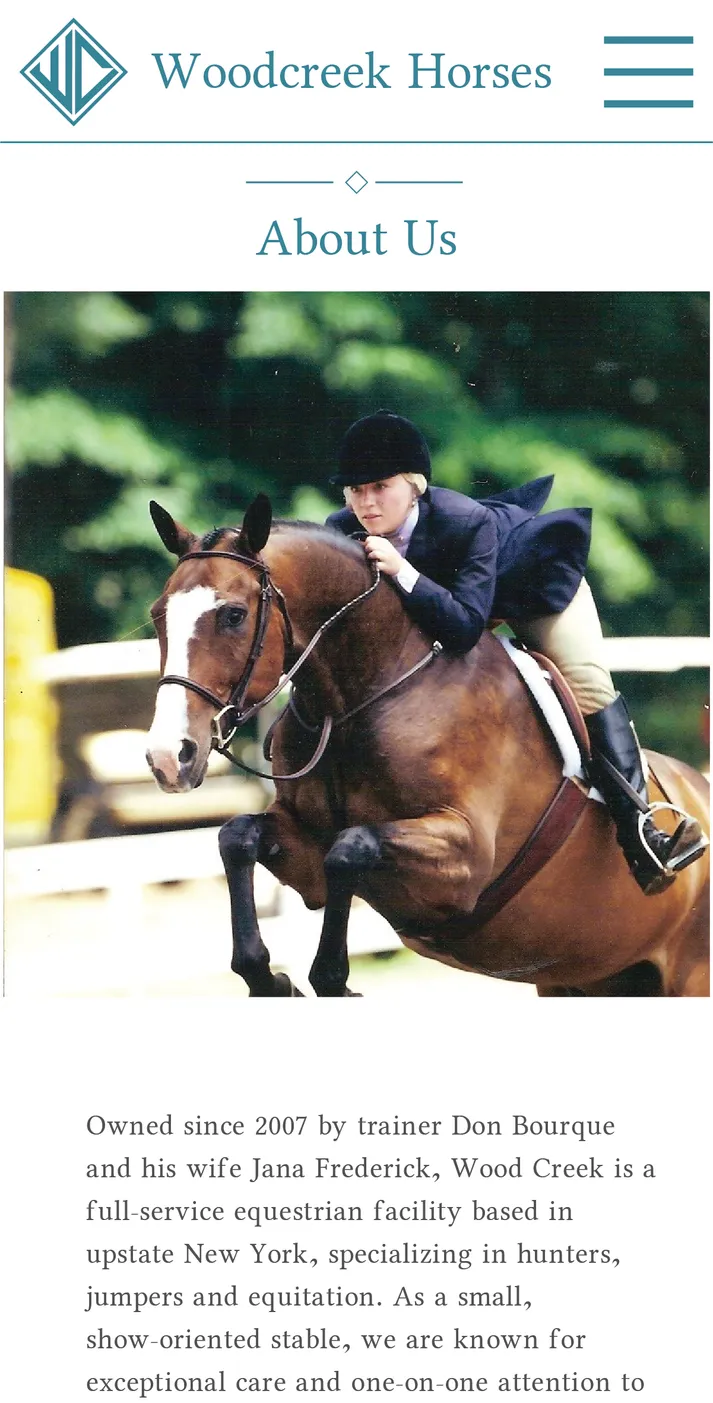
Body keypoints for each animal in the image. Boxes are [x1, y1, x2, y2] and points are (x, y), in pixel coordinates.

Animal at [145, 494, 710, 999]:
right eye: (157, 615)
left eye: (234, 615)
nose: (169, 758)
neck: (359, 698)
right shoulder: (305, 855)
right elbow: (239, 837)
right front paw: (271, 979)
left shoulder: (465, 861)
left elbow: (351, 847)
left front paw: (332, 980)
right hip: (582, 983)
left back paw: (661, 844)